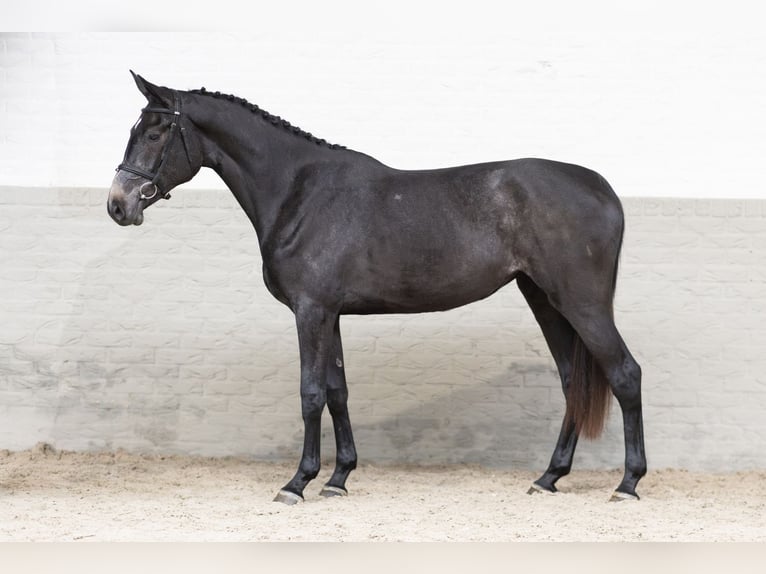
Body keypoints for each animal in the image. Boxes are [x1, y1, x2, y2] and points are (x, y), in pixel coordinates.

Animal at [108, 71, 648, 504]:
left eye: (154, 131)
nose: (118, 204)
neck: (300, 191)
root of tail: (602, 188)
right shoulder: (330, 313)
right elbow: (338, 391)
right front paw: (338, 478)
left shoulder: (310, 311)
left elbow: (310, 393)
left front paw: (298, 483)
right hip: (545, 300)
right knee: (573, 382)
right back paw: (549, 477)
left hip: (581, 303)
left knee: (625, 374)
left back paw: (627, 484)